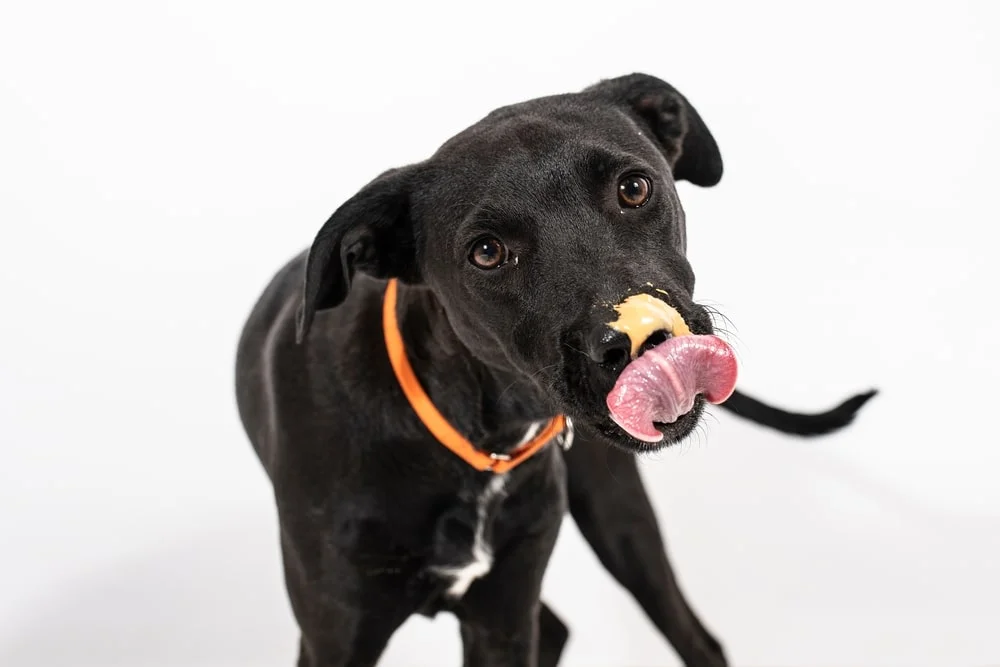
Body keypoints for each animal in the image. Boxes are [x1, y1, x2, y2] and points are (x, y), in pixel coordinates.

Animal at [236, 73, 876, 667]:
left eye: (634, 188)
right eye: (487, 253)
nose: (639, 340)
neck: (473, 438)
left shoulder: (503, 613)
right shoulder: (337, 634)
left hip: (621, 521)